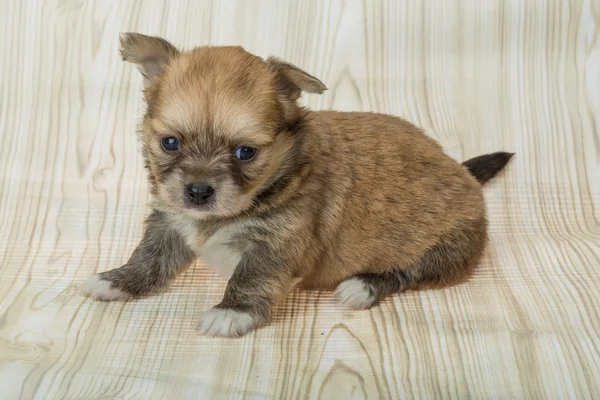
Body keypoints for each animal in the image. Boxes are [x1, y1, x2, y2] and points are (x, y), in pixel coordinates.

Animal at [81, 32, 516, 336]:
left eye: (245, 152)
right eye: (170, 143)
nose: (199, 191)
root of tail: (462, 172)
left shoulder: (276, 244)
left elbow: (252, 275)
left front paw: (232, 311)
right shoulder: (171, 222)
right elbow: (150, 257)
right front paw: (118, 280)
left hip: (450, 247)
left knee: (411, 272)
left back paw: (363, 286)